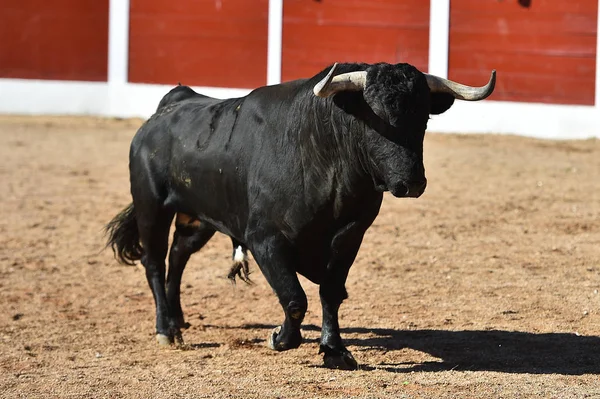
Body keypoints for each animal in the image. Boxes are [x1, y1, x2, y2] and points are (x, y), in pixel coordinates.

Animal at [105, 63, 494, 372]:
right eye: (375, 121)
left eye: (424, 118)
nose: (411, 182)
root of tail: (169, 105)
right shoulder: (265, 240)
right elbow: (295, 298)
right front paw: (279, 338)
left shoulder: (349, 237)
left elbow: (330, 293)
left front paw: (335, 351)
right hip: (152, 207)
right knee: (154, 262)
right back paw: (165, 329)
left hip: (199, 217)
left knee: (178, 256)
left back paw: (179, 320)